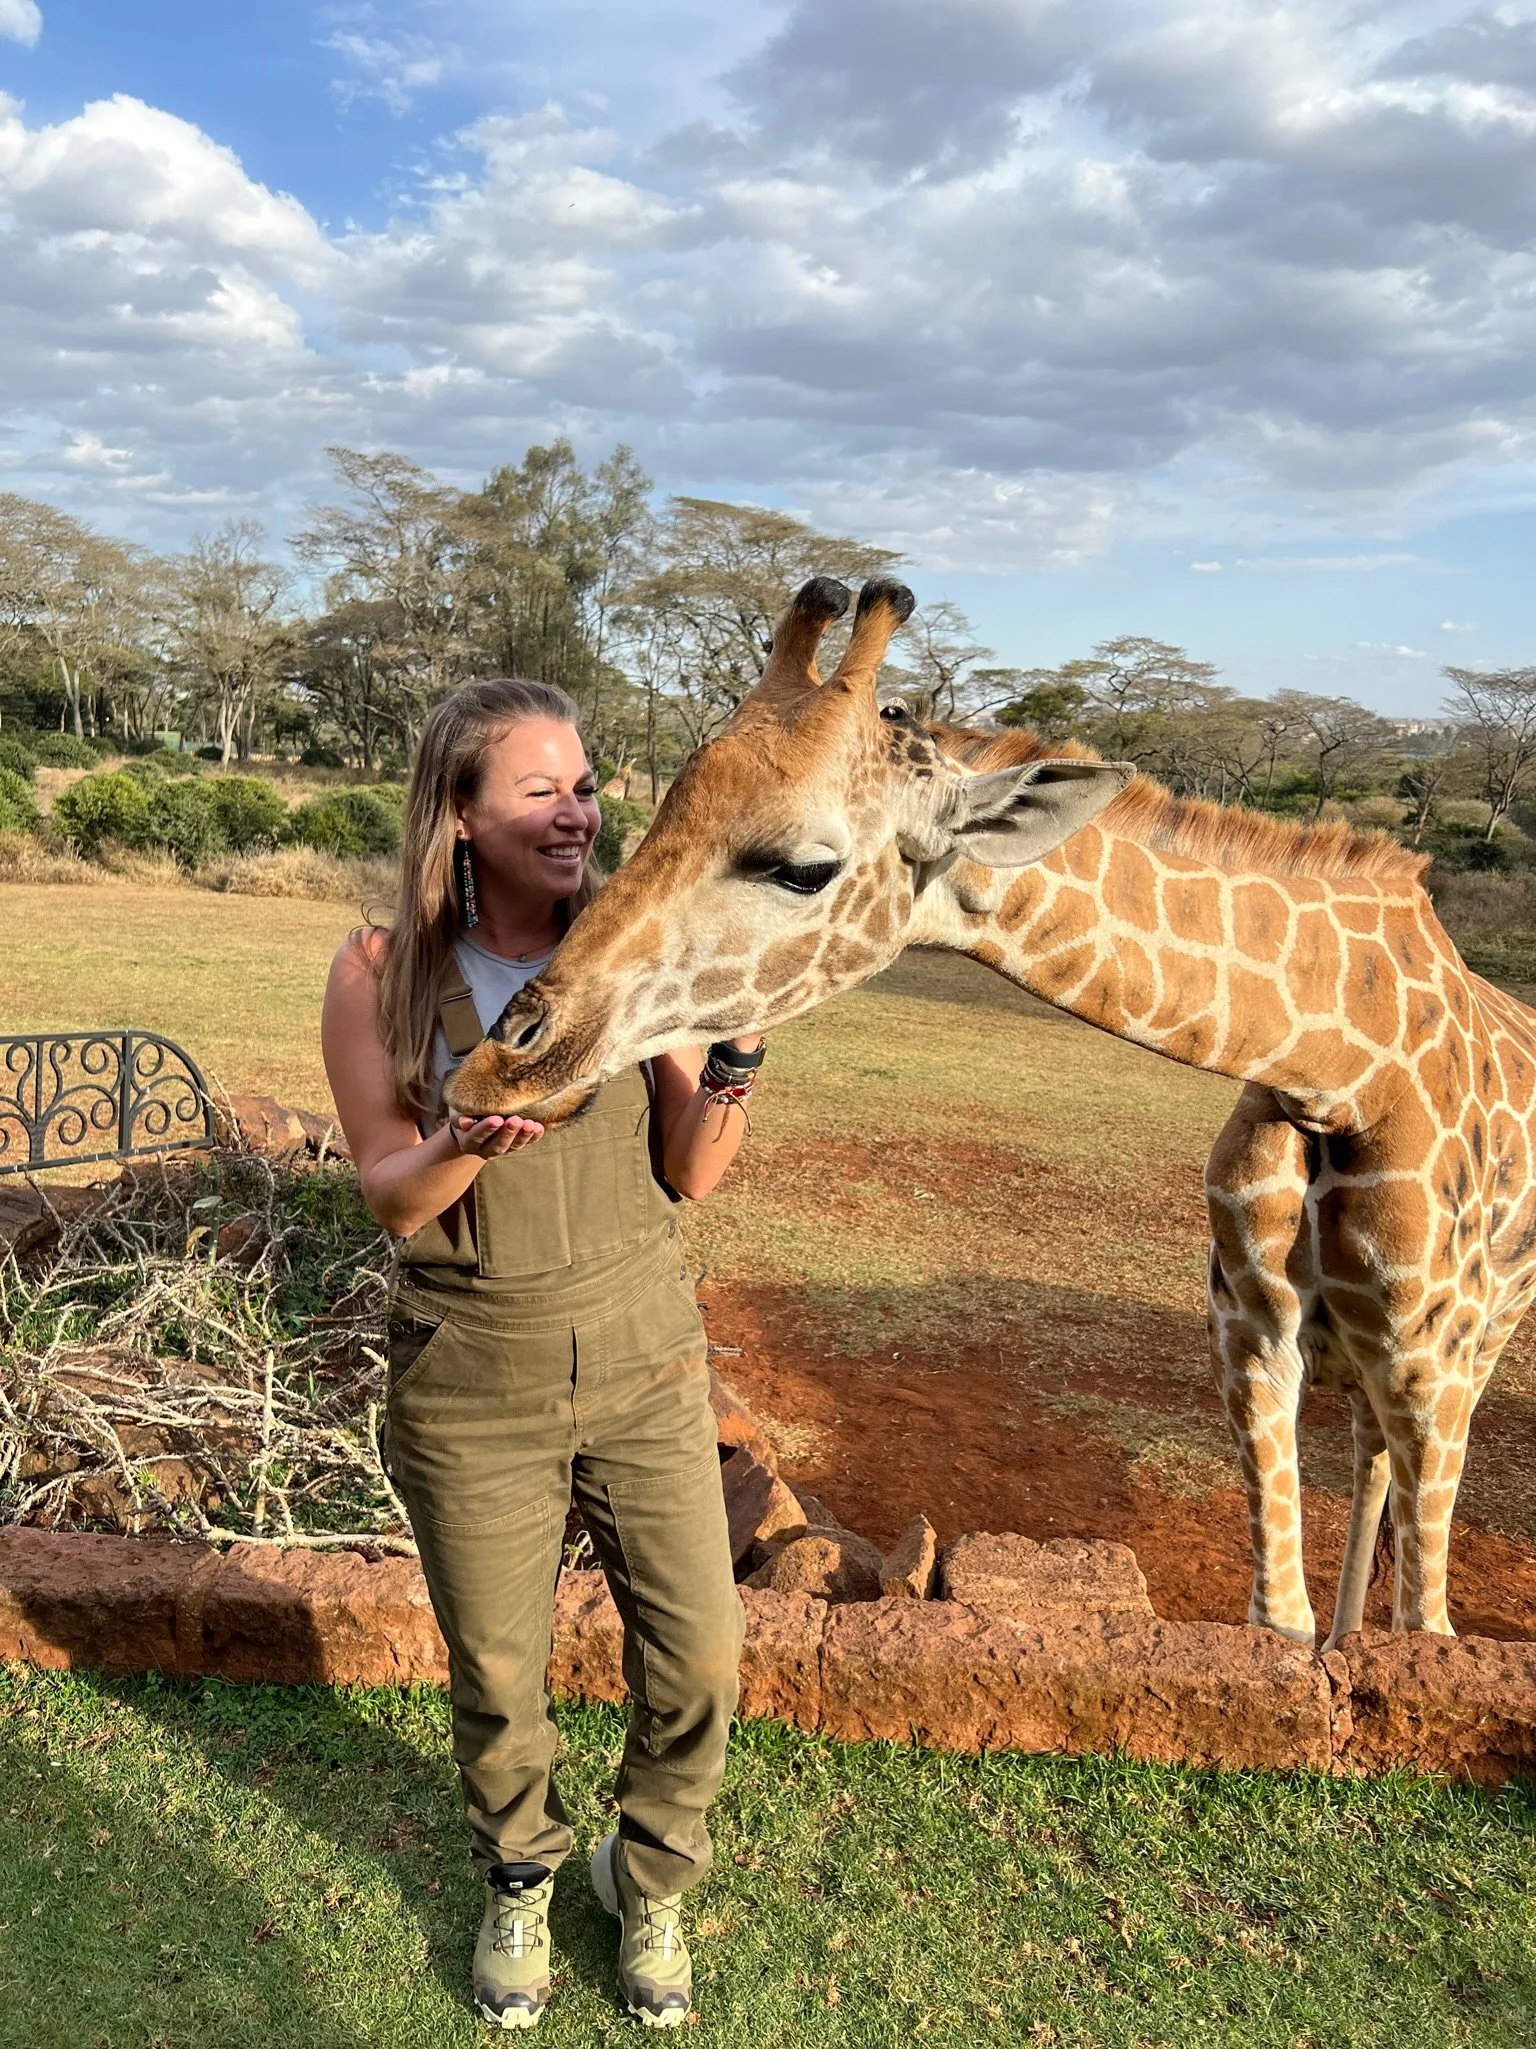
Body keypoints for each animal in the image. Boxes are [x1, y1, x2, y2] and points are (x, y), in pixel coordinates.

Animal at [445, 576, 1536, 1647]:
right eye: (651, 800)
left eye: (802, 866)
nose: (496, 1066)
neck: (1340, 1066)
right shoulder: (1250, 1331)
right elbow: (1278, 1620)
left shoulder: (1432, 1363)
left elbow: (1431, 1623)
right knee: (1368, 1461)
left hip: (1467, 1350)